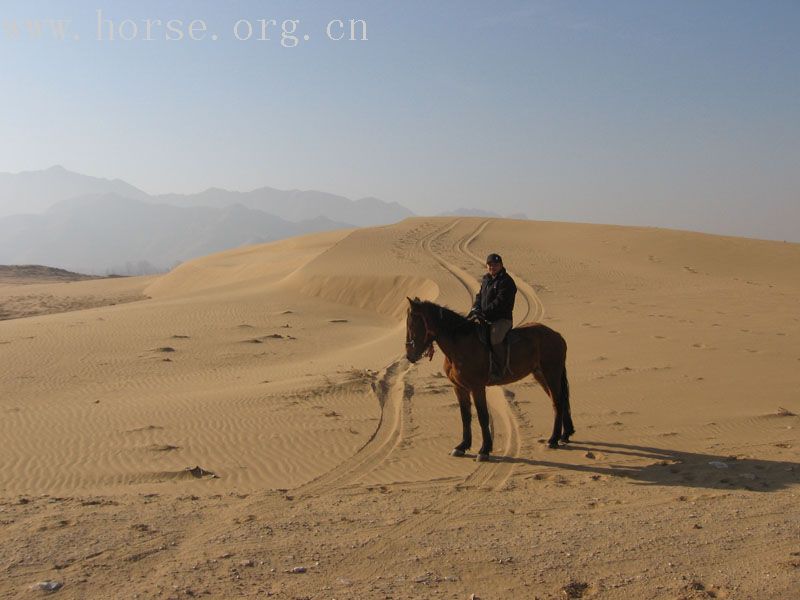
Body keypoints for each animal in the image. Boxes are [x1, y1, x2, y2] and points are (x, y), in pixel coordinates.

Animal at [404, 298, 572, 460]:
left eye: (413, 324)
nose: (409, 355)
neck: (459, 346)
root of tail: (557, 335)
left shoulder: (477, 387)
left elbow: (482, 416)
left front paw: (484, 450)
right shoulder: (459, 388)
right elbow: (465, 416)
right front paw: (462, 446)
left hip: (551, 373)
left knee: (557, 402)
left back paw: (553, 439)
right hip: (541, 375)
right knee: (559, 401)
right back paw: (564, 435)